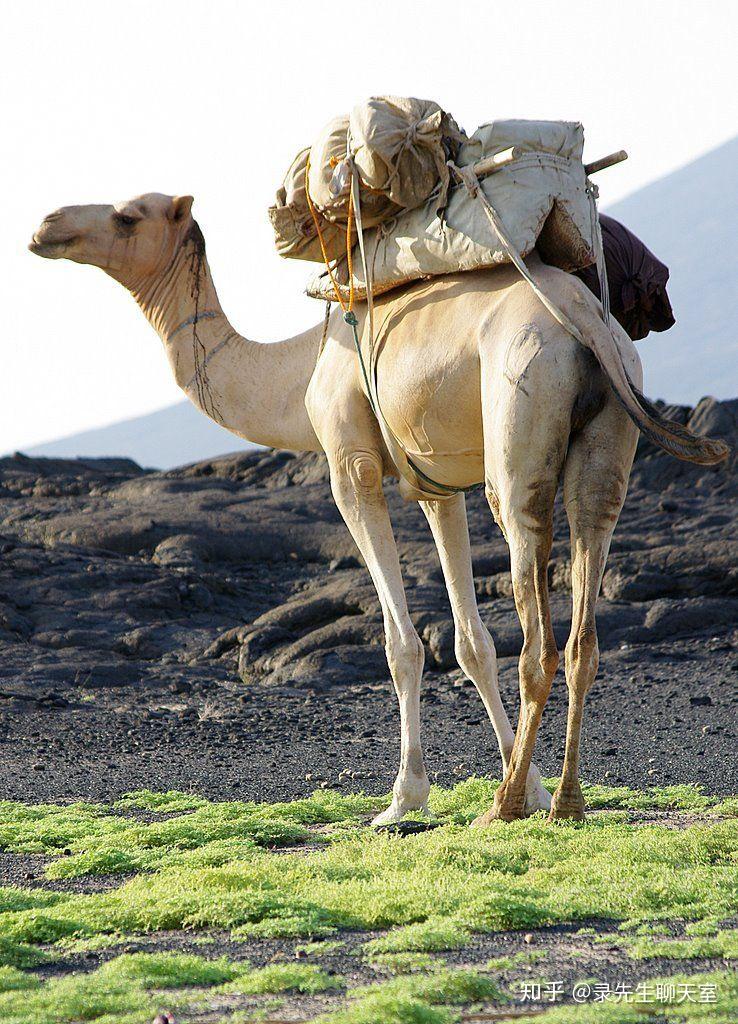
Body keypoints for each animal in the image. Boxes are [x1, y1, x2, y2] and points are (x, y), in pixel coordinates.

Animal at [28, 195, 724, 827]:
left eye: (127, 216)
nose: (47, 226)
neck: (301, 365)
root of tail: (586, 320)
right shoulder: (433, 482)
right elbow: (470, 642)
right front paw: (521, 783)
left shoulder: (350, 464)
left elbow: (402, 644)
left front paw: (405, 798)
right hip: (608, 439)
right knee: (584, 622)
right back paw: (565, 801)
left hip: (519, 426)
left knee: (535, 630)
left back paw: (499, 808)